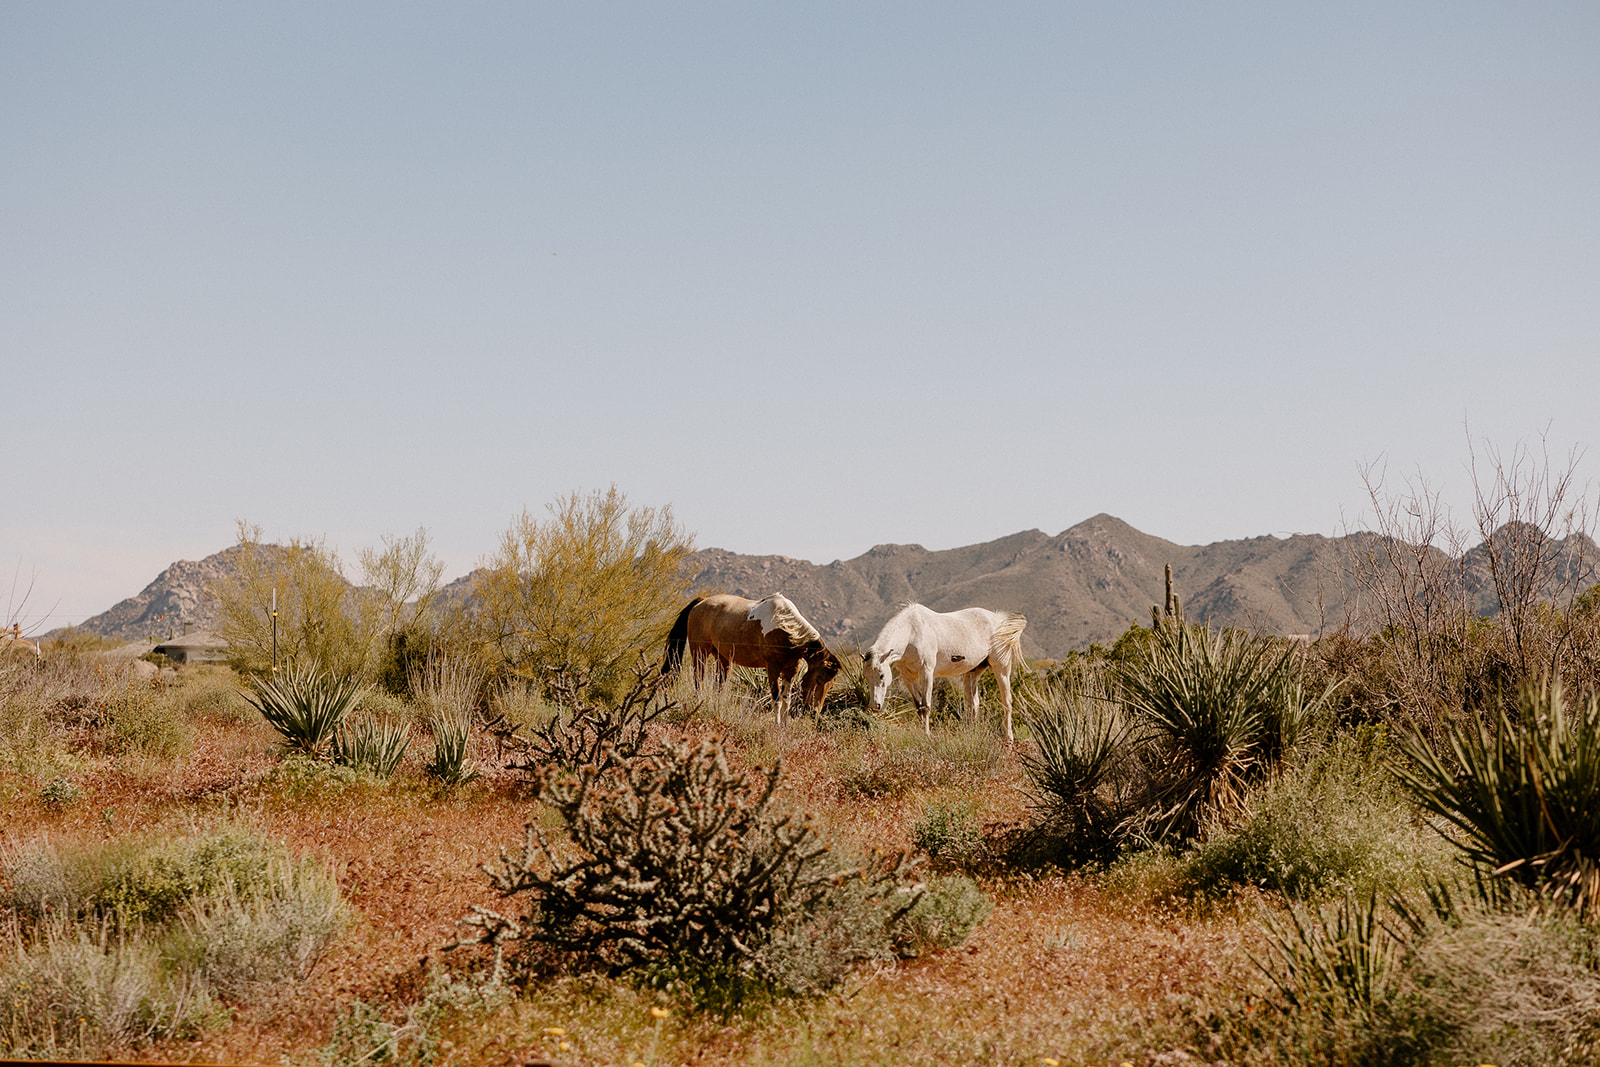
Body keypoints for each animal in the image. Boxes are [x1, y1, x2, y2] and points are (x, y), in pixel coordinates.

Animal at [659, 591, 844, 726]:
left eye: (831, 684)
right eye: (819, 679)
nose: (814, 713)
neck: (786, 627)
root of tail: (700, 602)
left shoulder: (791, 670)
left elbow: (786, 699)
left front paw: (785, 726)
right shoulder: (772, 669)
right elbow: (777, 699)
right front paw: (777, 725)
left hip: (723, 659)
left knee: (719, 686)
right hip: (700, 653)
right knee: (698, 681)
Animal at [864, 607, 1024, 742]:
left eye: (881, 675)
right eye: (866, 678)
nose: (874, 706)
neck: (911, 633)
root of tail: (998, 619)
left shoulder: (927, 673)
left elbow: (925, 706)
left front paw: (927, 735)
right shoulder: (908, 677)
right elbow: (918, 706)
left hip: (1002, 668)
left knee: (1006, 702)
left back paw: (1009, 739)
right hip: (972, 673)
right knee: (973, 704)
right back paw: (971, 734)